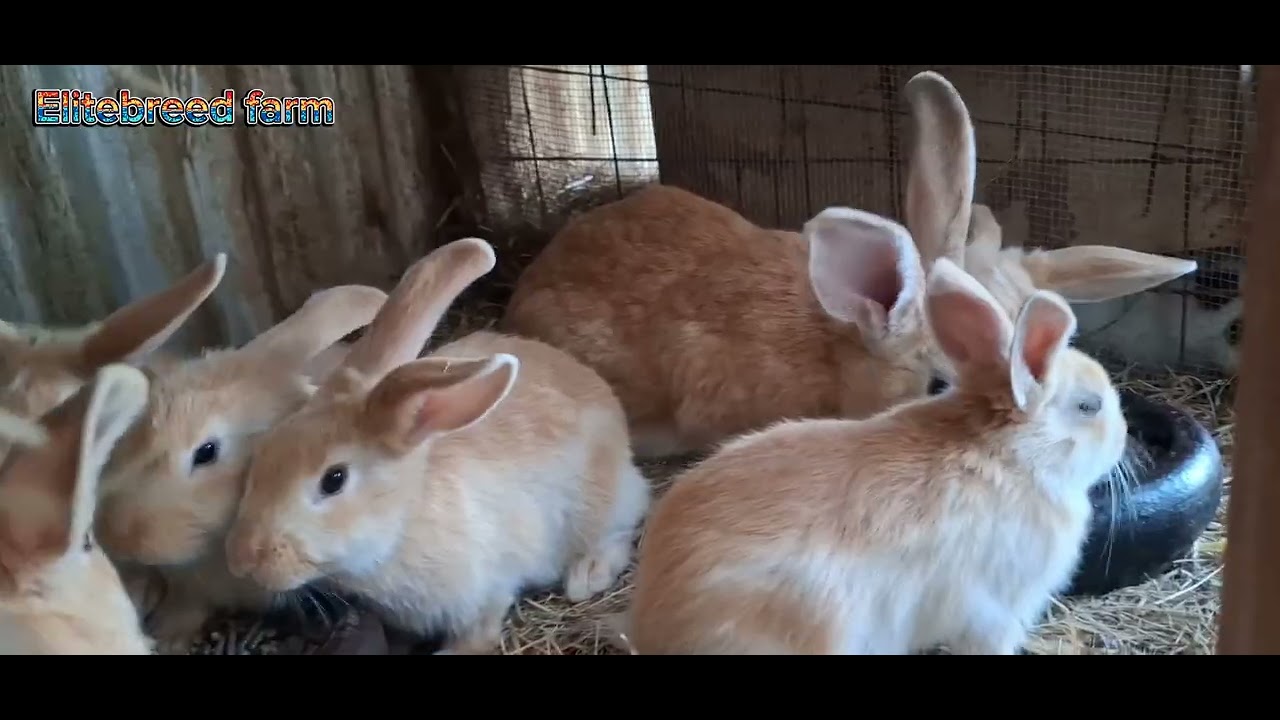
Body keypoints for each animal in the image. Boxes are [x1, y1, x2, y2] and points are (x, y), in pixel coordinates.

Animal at [223, 237, 651, 656]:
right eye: (264, 451)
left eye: (334, 480)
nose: (241, 558)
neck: (402, 521)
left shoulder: (485, 594)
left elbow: (477, 634)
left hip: (598, 506)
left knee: (624, 526)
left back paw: (586, 574)